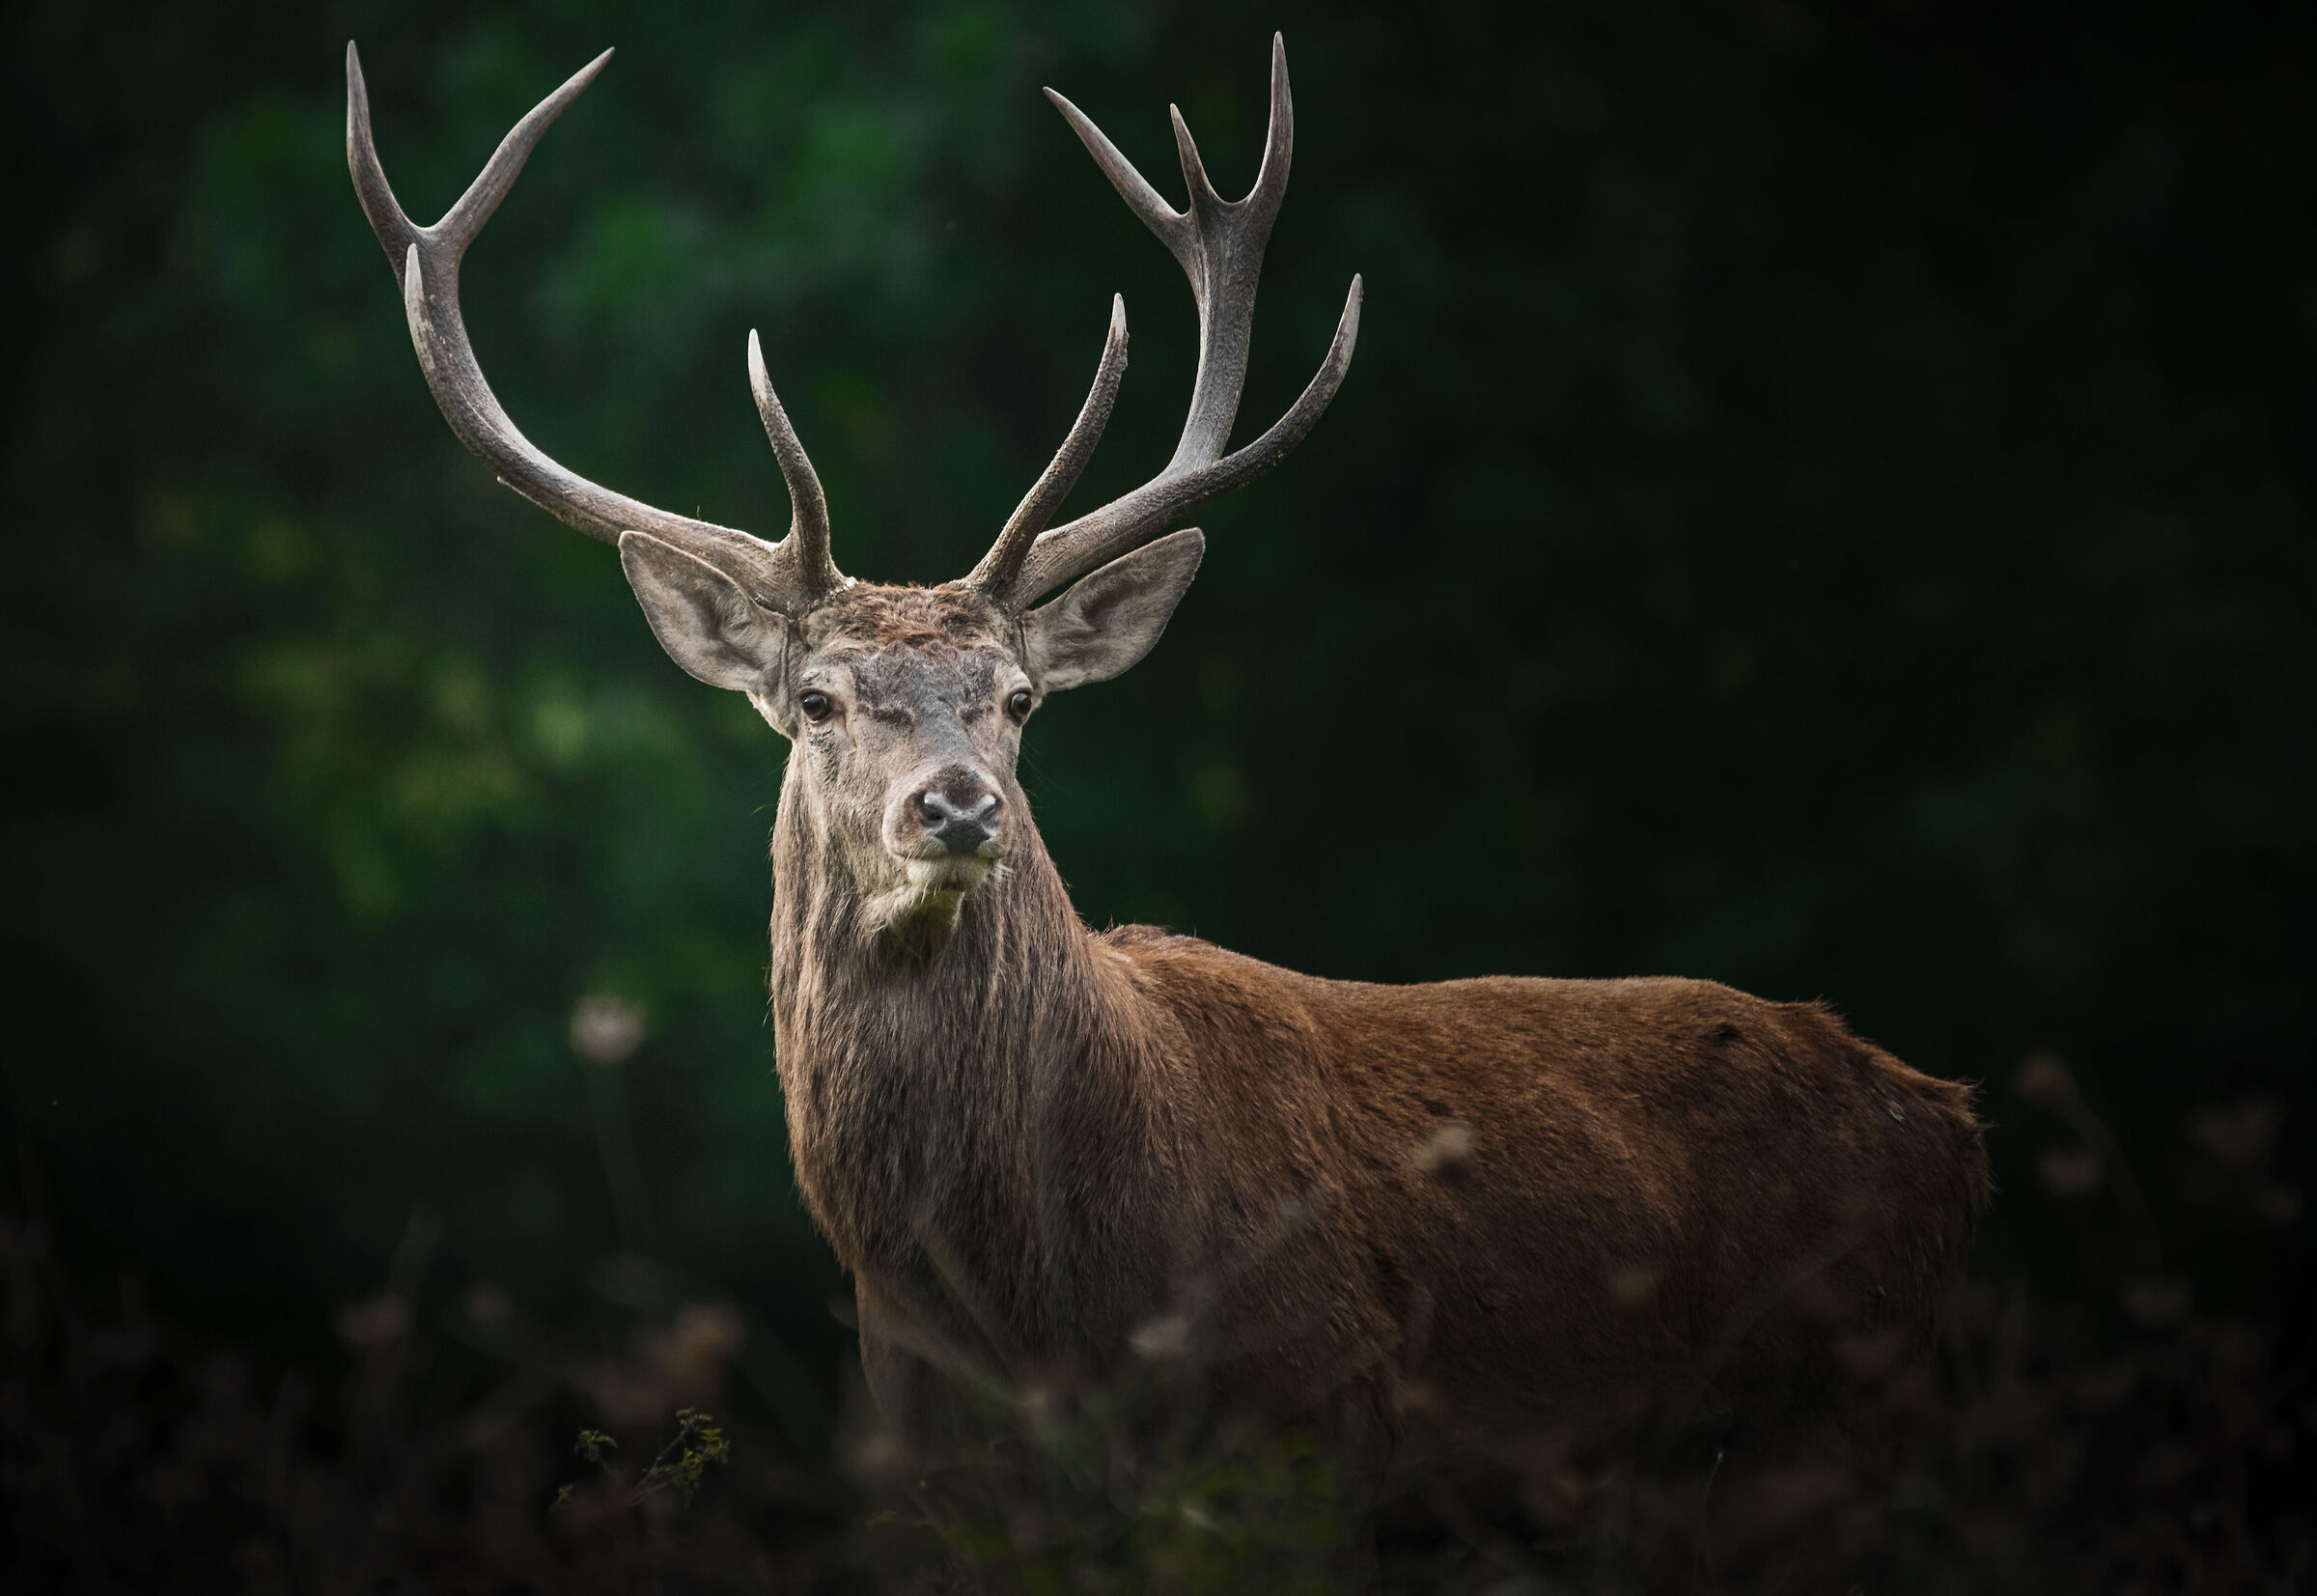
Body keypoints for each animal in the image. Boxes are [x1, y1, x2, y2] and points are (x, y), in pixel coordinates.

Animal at [347, 34, 1989, 1525]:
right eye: (817, 699)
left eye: (1018, 701)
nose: (959, 805)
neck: (1034, 1301)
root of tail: (1953, 1123)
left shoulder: (1308, 1415)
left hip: (1856, 1403)